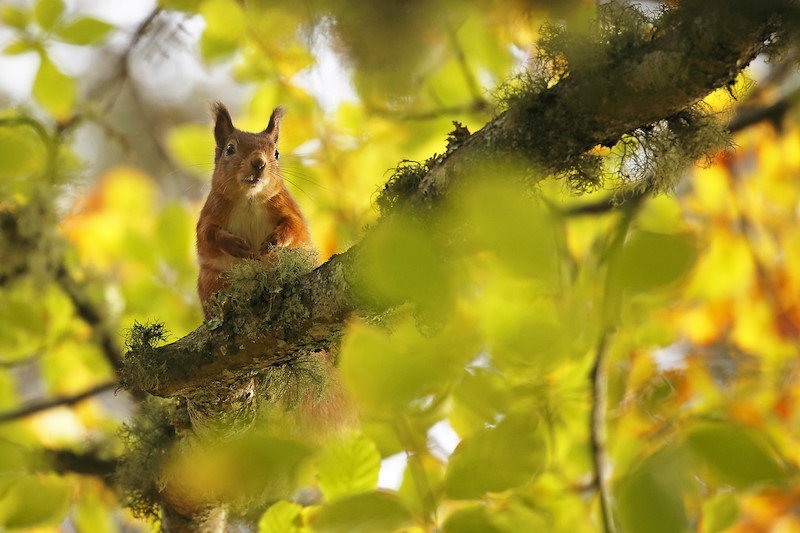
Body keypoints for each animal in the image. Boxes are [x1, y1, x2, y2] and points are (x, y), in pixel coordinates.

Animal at [196, 102, 311, 317]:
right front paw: (234, 244)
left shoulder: (285, 204)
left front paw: (275, 240)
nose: (259, 163)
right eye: (230, 149)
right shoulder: (212, 210)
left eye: (276, 153)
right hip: (211, 280)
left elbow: (296, 227)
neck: (249, 199)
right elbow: (207, 236)